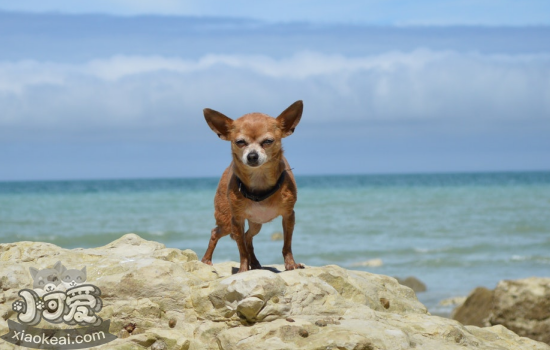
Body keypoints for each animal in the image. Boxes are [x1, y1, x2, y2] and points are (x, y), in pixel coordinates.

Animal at [202, 100, 306, 272]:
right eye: (240, 142)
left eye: (268, 141)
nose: (252, 155)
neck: (259, 180)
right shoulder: (236, 220)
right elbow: (241, 250)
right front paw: (243, 270)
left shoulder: (289, 216)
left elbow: (287, 244)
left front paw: (291, 264)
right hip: (226, 222)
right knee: (216, 232)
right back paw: (206, 259)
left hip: (256, 224)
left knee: (247, 237)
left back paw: (255, 263)